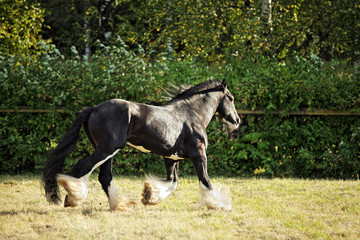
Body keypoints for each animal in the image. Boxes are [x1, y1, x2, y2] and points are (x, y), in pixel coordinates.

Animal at [42, 79, 240, 210]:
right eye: (230, 98)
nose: (236, 120)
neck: (191, 114)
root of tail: (94, 109)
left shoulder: (171, 158)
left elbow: (172, 182)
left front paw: (148, 196)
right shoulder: (199, 154)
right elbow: (205, 181)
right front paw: (218, 204)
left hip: (107, 151)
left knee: (104, 176)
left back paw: (120, 204)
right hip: (108, 148)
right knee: (84, 166)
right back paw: (74, 197)